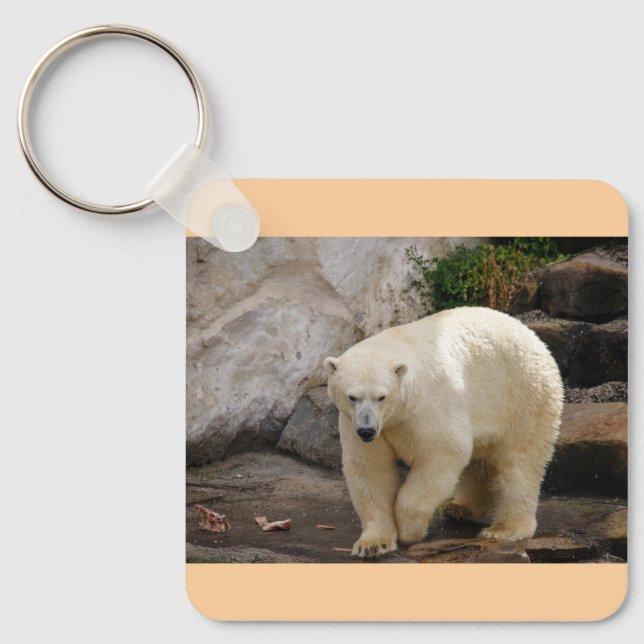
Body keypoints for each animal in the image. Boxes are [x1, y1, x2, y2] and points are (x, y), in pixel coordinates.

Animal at [324, 306, 563, 559]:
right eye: (352, 397)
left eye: (382, 396)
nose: (367, 431)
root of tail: (533, 337)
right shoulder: (359, 424)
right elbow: (371, 470)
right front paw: (372, 544)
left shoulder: (429, 406)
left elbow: (443, 452)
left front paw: (409, 530)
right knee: (478, 460)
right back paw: (459, 507)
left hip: (523, 396)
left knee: (519, 463)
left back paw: (504, 529)